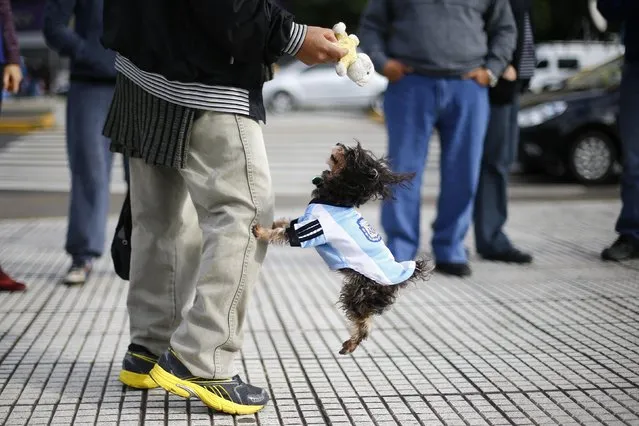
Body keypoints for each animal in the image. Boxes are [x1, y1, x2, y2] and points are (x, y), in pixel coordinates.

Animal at [252, 141, 432, 354]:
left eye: (353, 155)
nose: (339, 144)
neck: (338, 198)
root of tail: (401, 277)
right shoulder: (303, 222)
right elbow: (283, 224)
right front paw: (272, 224)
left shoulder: (311, 228)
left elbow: (282, 233)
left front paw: (262, 231)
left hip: (358, 292)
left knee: (364, 321)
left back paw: (350, 344)